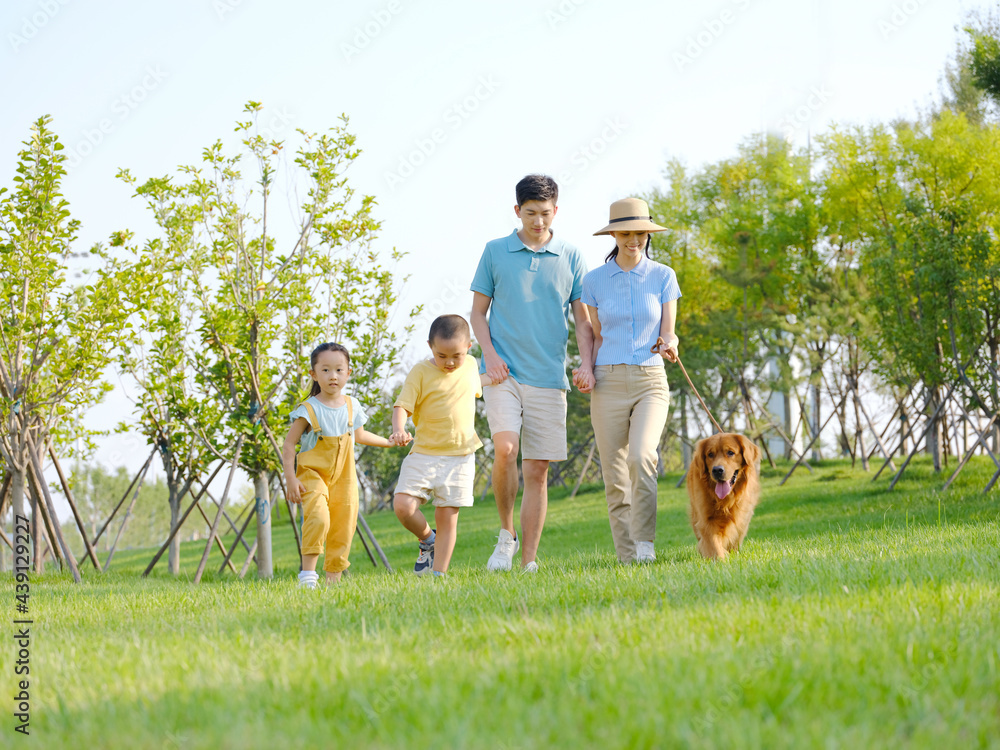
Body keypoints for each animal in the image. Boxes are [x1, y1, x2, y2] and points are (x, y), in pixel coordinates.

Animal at [692, 432, 760, 560]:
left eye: (730, 452)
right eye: (710, 454)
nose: (717, 470)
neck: (725, 500)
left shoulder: (740, 518)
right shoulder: (706, 521)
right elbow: (713, 544)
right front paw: (721, 560)